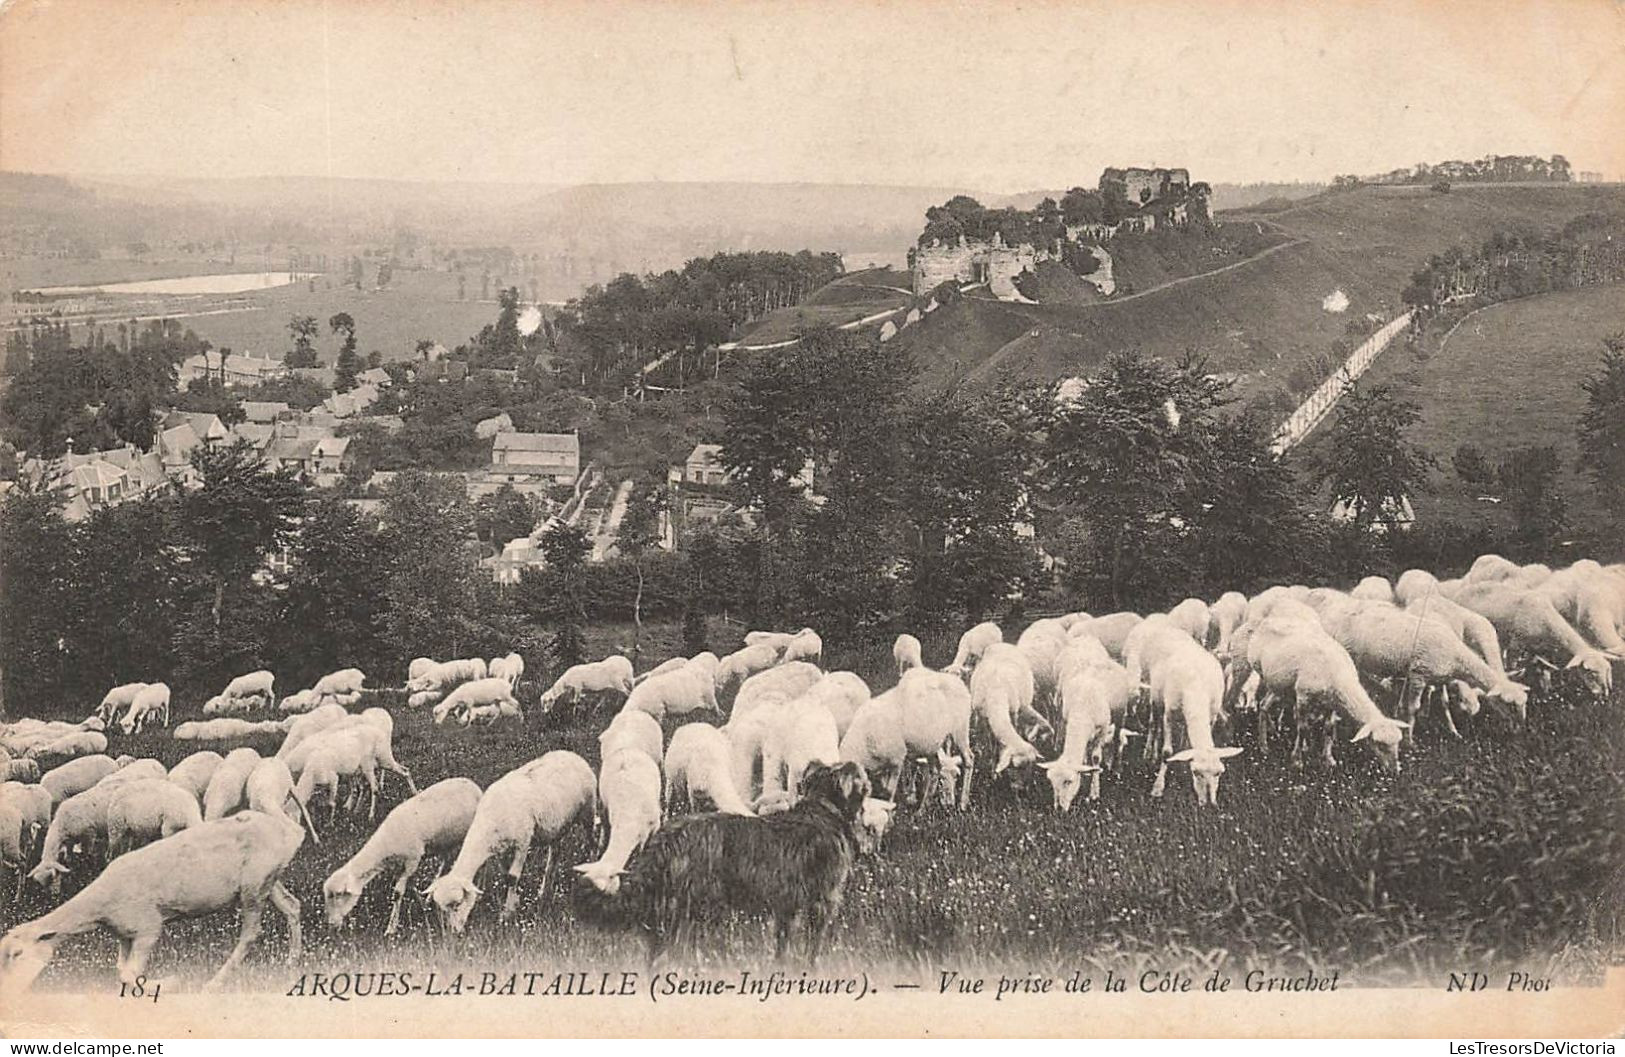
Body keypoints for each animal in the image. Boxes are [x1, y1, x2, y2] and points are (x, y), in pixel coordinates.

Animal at [0, 806, 305, 988]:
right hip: (268, 880)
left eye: (18, 953)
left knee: (251, 934)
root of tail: (290, 833)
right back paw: (292, 959)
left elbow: (130, 973)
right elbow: (121, 970)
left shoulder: (149, 928)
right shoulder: (125, 935)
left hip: (254, 887)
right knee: (292, 906)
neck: (100, 908)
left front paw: (167, 982)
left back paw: (215, 982)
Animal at [323, 774, 481, 930]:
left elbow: (398, 893)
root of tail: (472, 784)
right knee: (445, 863)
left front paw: (391, 928)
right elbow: (409, 886)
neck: (384, 846)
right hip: (446, 842)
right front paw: (422, 903)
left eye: (339, 895)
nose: (331, 925)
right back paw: (430, 896)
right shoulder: (400, 865)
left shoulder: (412, 860)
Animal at [425, 744, 598, 923]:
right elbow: (505, 876)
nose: (452, 929)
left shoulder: (522, 842)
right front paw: (513, 904)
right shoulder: (501, 849)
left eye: (457, 904)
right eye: (440, 908)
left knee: (593, 843)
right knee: (555, 854)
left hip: (588, 810)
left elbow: (512, 877)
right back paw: (544, 891)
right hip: (556, 825)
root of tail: (570, 753)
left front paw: (507, 913)